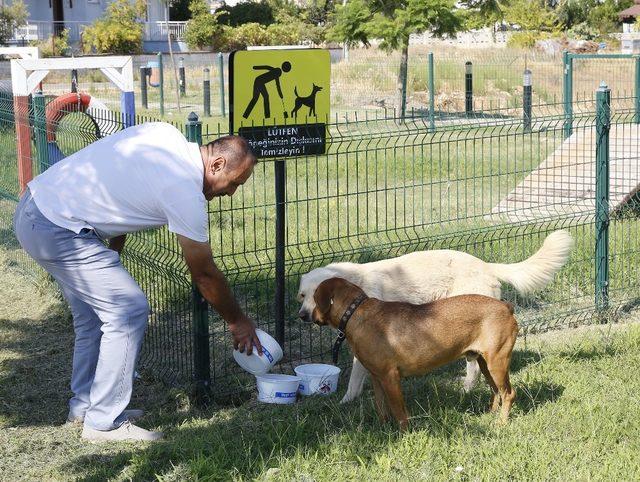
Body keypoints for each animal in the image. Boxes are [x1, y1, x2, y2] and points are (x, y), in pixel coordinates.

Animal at [298, 230, 572, 402]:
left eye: (316, 297)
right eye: (302, 296)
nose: (301, 316)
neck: (354, 289)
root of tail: (485, 265)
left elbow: (355, 379)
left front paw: (346, 401)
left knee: (474, 368)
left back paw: (466, 389)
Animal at [312, 276, 516, 432]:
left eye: (313, 298)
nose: (306, 315)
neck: (354, 314)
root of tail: (506, 306)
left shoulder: (390, 377)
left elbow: (399, 411)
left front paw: (404, 434)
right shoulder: (376, 377)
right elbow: (381, 407)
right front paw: (384, 428)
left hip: (497, 362)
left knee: (508, 393)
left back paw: (501, 422)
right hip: (485, 363)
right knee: (496, 391)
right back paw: (491, 413)